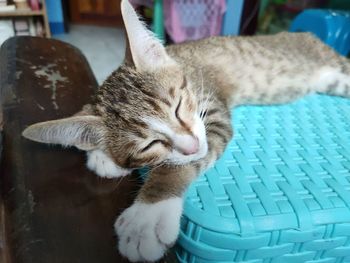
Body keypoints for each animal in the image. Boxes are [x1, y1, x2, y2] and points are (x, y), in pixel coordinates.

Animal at [21, 1, 350, 262]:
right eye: (147, 145)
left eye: (179, 107)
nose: (191, 145)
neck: (182, 64)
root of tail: (307, 34)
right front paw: (102, 156)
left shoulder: (212, 115)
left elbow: (178, 165)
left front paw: (148, 216)